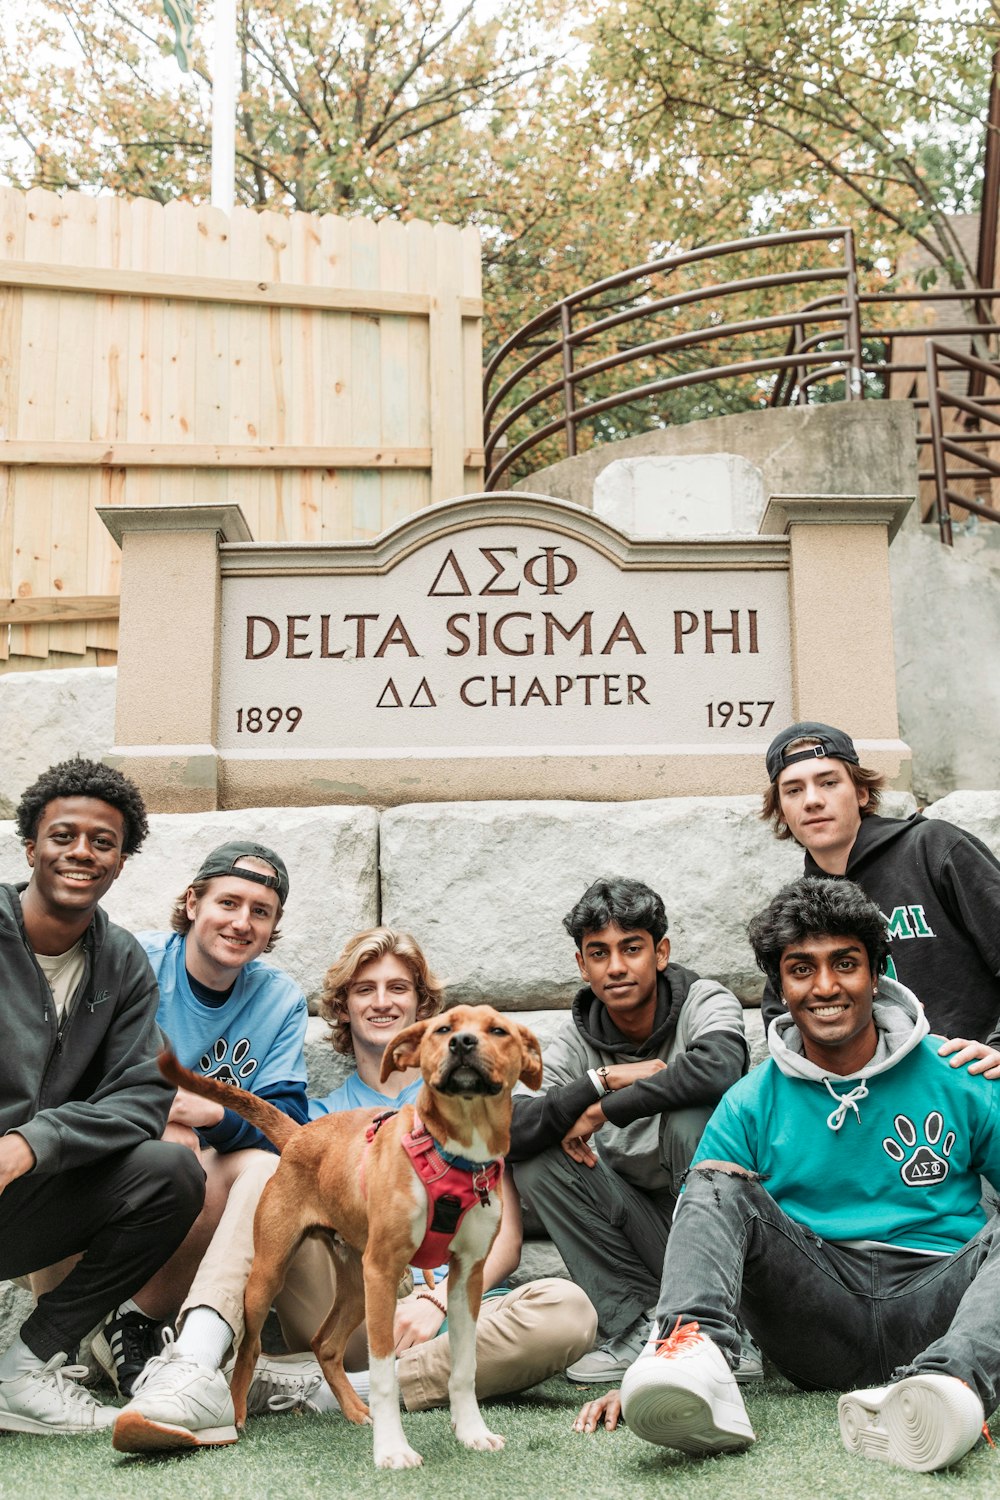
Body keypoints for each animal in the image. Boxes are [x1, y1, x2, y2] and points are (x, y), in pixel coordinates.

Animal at [160, 996, 542, 1464]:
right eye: (442, 1029)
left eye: (498, 1030)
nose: (463, 1042)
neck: (454, 1153)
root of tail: (300, 1133)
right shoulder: (385, 1268)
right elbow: (382, 1372)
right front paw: (393, 1452)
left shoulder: (467, 1275)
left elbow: (465, 1366)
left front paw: (472, 1433)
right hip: (273, 1272)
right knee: (249, 1347)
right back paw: (236, 1414)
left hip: (358, 1281)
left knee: (325, 1343)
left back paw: (355, 1411)